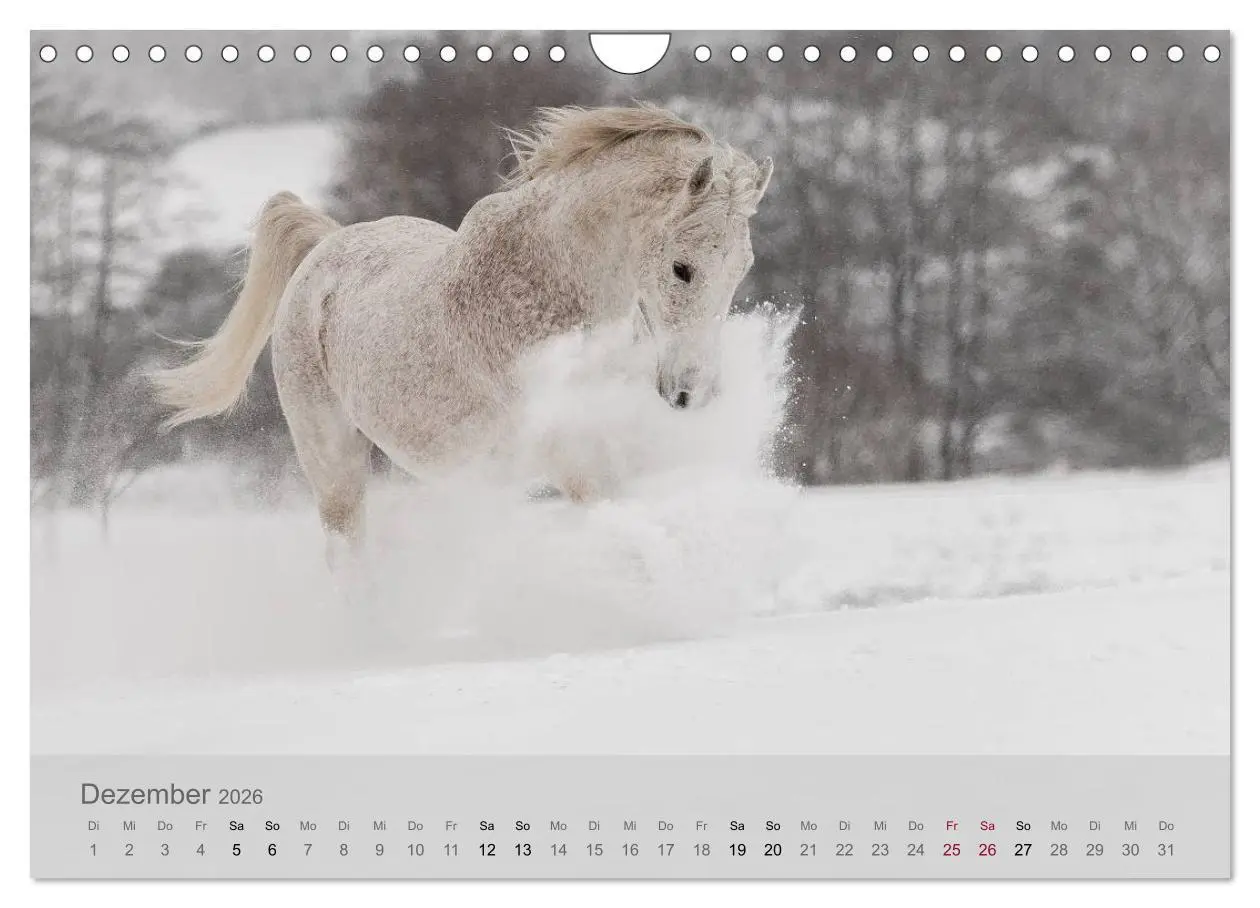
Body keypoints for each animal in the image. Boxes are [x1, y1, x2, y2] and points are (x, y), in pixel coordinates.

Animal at [149, 105, 774, 555]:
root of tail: (326, 246)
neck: (550, 284)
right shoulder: (566, 446)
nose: (691, 394)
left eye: (742, 268)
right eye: (682, 268)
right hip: (333, 465)